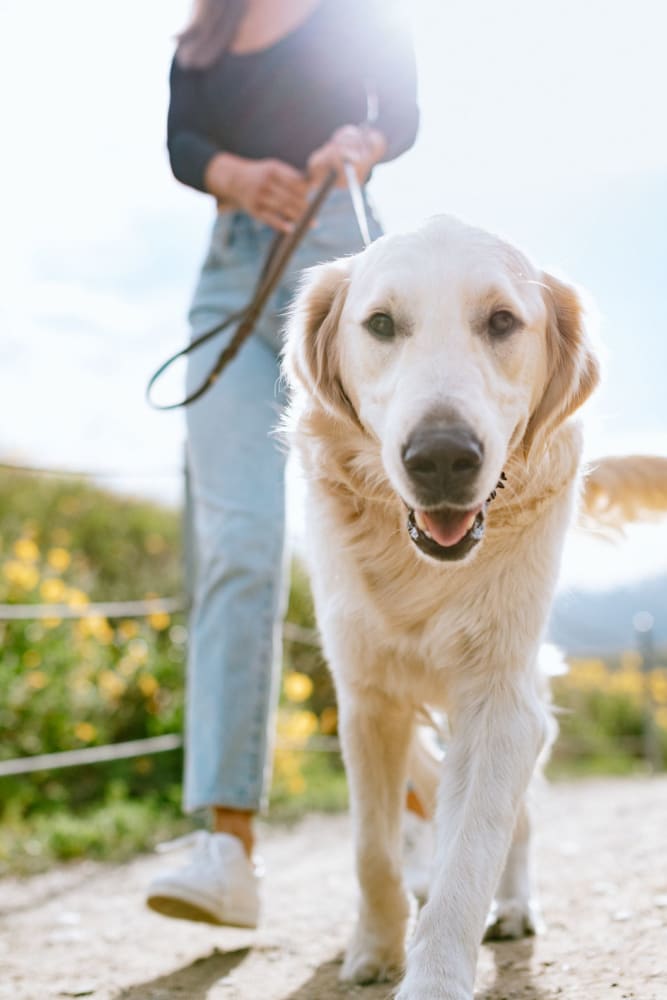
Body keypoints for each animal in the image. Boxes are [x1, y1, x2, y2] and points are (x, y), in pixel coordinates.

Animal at [284, 219, 667, 1000]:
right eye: (379, 324)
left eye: (500, 322)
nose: (440, 458)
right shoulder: (366, 699)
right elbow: (372, 848)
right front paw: (376, 947)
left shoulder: (502, 701)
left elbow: (472, 851)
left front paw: (432, 974)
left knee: (513, 826)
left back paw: (513, 906)